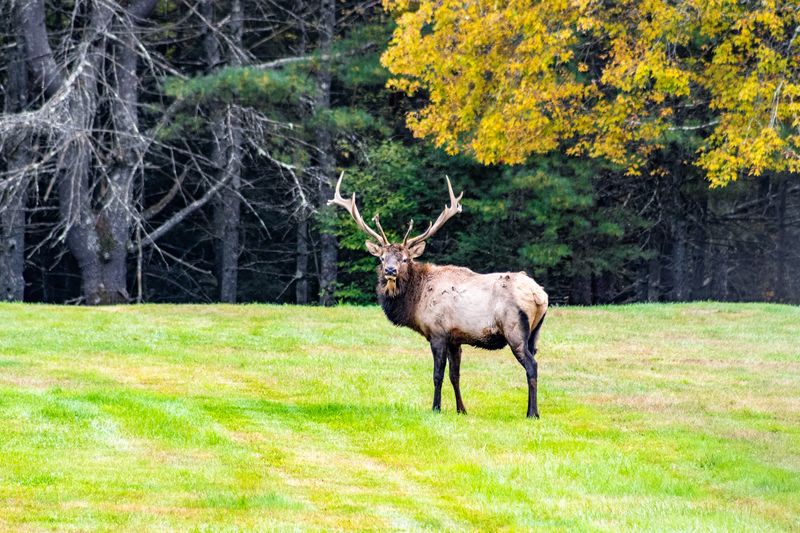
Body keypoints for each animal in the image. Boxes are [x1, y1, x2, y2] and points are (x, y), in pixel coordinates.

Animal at [328, 173, 548, 418]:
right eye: (382, 258)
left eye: (405, 258)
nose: (390, 271)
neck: (415, 301)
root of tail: (540, 296)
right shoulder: (455, 338)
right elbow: (455, 375)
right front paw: (461, 409)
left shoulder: (437, 333)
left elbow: (437, 375)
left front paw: (436, 408)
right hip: (535, 332)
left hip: (515, 329)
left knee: (532, 365)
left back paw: (532, 413)